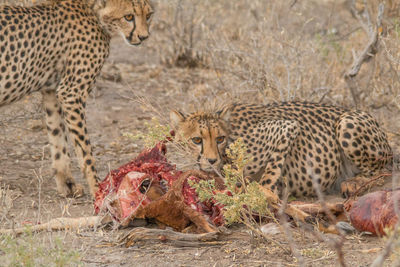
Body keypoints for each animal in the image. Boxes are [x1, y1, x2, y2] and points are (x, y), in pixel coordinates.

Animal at [0, 0, 153, 197]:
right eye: (128, 17)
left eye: (148, 15)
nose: (144, 37)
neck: (93, 11)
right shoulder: (72, 93)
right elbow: (85, 150)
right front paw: (98, 189)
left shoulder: (52, 92)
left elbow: (58, 138)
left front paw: (68, 184)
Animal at [170, 101, 392, 198]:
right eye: (196, 140)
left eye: (220, 139)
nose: (212, 160)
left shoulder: (286, 126)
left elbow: (269, 175)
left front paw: (263, 193)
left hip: (346, 123)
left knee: (384, 171)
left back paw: (354, 183)